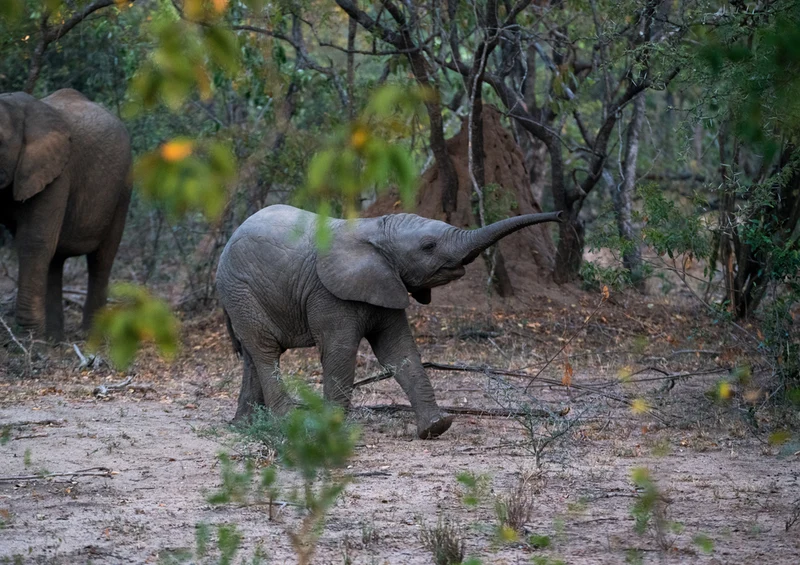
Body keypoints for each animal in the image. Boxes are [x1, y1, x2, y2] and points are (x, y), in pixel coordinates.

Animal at [0, 89, 132, 341]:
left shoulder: (56, 173)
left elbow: (33, 241)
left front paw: (28, 340)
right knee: (55, 260)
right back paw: (54, 338)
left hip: (123, 187)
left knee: (101, 259)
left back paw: (89, 336)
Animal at [217, 204, 561, 439]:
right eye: (428, 246)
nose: (560, 215)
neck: (376, 230)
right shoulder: (328, 294)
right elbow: (340, 352)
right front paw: (330, 432)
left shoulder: (386, 283)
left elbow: (399, 351)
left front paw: (436, 427)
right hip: (240, 290)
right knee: (265, 351)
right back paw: (289, 423)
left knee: (252, 355)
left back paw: (244, 425)